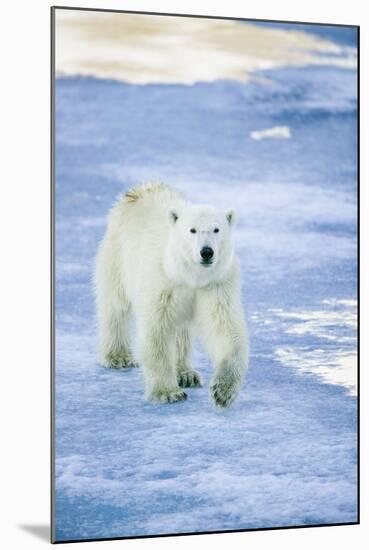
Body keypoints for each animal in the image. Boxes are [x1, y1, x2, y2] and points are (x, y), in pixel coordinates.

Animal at [95, 183, 249, 408]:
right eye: (192, 230)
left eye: (216, 229)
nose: (206, 252)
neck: (191, 276)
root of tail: (140, 189)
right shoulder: (163, 282)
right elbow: (157, 330)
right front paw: (167, 392)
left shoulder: (216, 284)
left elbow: (224, 328)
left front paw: (222, 391)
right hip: (117, 255)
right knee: (116, 306)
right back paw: (118, 356)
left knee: (181, 331)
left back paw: (186, 374)